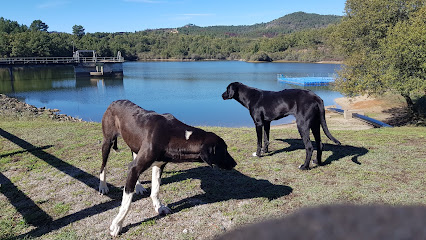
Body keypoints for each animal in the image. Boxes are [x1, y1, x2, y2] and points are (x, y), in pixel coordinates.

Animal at [100, 100, 238, 236]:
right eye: (224, 150)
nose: (235, 163)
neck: (172, 135)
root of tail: (114, 102)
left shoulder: (159, 164)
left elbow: (155, 190)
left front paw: (159, 207)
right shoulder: (136, 167)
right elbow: (126, 203)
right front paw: (117, 225)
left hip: (134, 145)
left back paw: (138, 186)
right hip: (108, 141)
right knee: (103, 166)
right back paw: (103, 186)